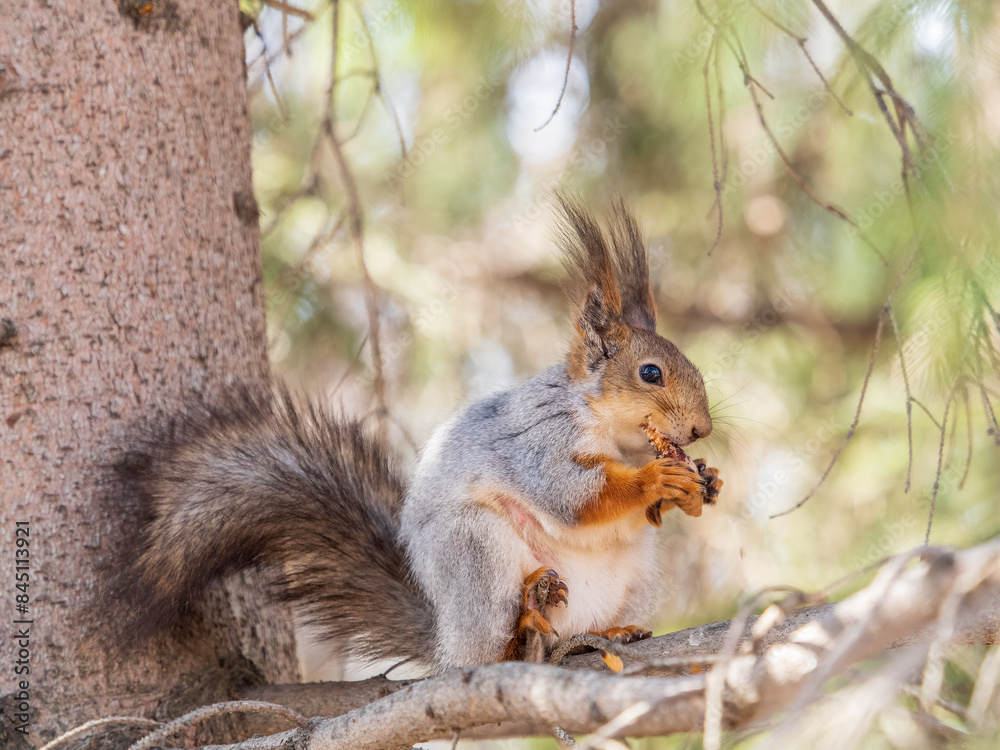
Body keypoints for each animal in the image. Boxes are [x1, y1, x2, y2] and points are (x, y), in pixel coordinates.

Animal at [113, 197, 722, 671]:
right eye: (650, 373)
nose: (702, 429)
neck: (615, 436)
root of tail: (444, 639)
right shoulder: (536, 442)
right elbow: (572, 497)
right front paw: (653, 478)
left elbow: (638, 514)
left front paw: (702, 483)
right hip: (475, 552)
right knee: (485, 651)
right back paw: (518, 634)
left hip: (636, 574)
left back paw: (613, 633)